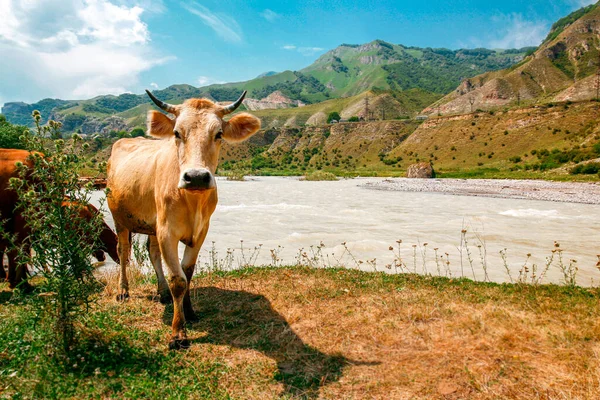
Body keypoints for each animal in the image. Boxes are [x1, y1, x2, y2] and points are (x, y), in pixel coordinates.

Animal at [108, 90, 260, 346]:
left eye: (219, 134)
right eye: (177, 133)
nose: (196, 177)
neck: (193, 202)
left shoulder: (200, 231)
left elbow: (186, 272)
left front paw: (188, 311)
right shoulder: (167, 232)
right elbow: (178, 280)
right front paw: (178, 332)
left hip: (152, 226)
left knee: (153, 253)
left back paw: (161, 292)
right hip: (119, 219)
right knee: (123, 252)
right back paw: (123, 290)